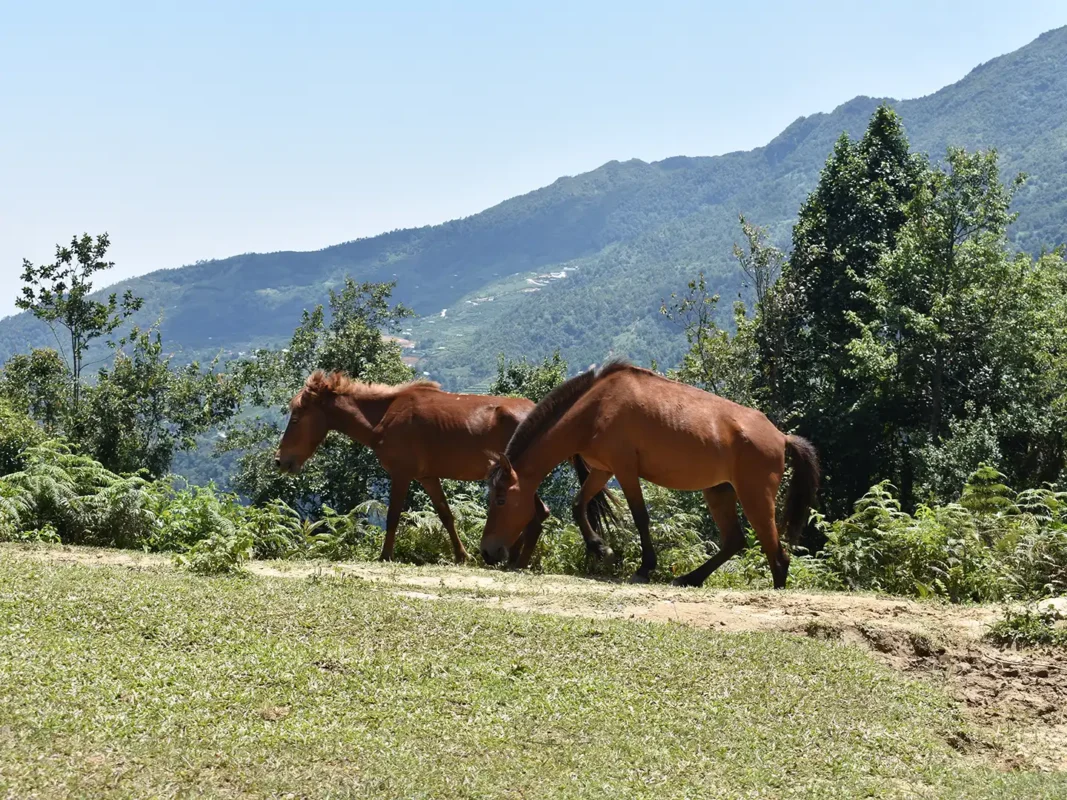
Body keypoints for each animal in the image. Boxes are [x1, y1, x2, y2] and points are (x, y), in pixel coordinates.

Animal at [271, 371, 614, 567]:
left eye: (297, 417)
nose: (280, 460)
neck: (385, 417)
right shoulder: (427, 476)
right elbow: (446, 515)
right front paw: (462, 556)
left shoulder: (401, 474)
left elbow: (393, 516)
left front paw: (385, 555)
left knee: (537, 513)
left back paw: (515, 559)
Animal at [480, 362, 819, 588]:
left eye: (500, 499)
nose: (487, 551)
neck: (595, 408)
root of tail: (781, 437)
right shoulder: (602, 470)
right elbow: (579, 505)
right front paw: (600, 548)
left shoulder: (626, 470)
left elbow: (641, 517)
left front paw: (644, 568)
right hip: (719, 491)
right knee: (735, 541)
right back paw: (690, 578)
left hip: (755, 497)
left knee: (776, 554)